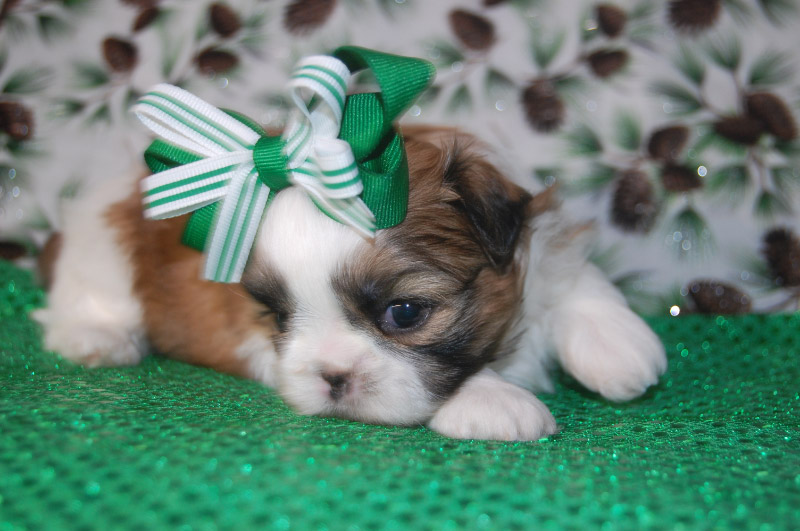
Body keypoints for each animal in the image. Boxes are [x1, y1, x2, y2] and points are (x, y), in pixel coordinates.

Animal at [34, 126, 667, 441]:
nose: (332, 377)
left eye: (404, 313)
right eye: (279, 316)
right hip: (101, 258)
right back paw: (97, 337)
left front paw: (617, 345)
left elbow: (574, 276)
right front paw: (491, 399)